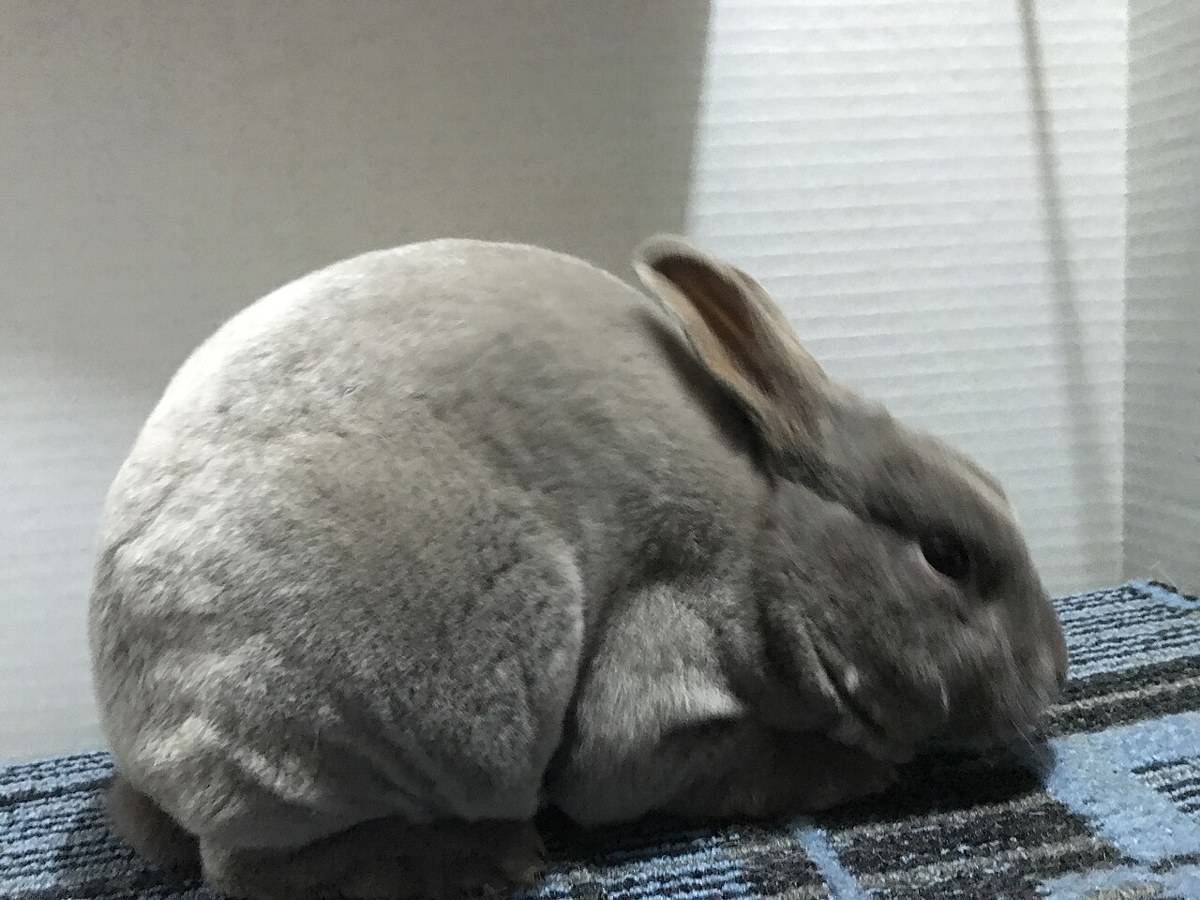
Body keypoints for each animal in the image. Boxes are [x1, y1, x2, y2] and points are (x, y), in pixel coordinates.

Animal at [89, 235, 1068, 899]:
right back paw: (492, 857)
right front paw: (858, 773)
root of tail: (134, 729)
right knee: (249, 866)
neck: (768, 546)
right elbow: (704, 765)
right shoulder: (659, 687)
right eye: (948, 555)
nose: (1055, 675)